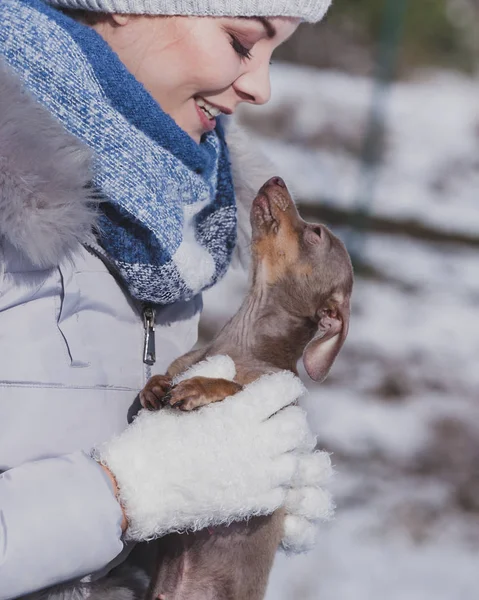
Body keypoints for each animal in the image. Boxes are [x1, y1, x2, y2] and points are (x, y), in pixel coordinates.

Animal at [138, 177, 352, 600]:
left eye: (316, 233)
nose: (276, 179)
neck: (240, 342)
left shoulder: (281, 410)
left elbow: (233, 388)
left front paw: (200, 385)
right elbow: (159, 381)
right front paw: (154, 387)